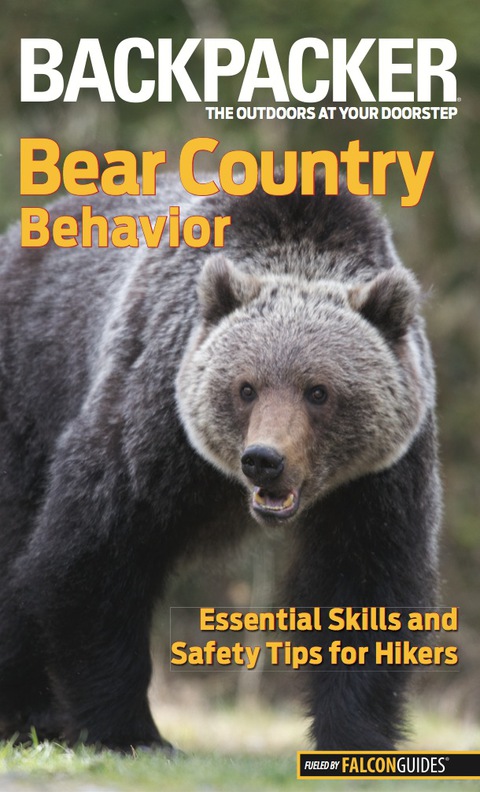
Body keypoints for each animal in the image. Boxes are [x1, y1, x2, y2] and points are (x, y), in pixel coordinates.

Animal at [0, 172, 441, 752]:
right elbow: (93, 557)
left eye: (318, 391)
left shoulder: (379, 478)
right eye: (246, 387)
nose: (264, 460)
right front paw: (133, 732)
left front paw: (353, 735)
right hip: (30, 391)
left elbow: (365, 586)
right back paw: (30, 713)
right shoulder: (153, 424)